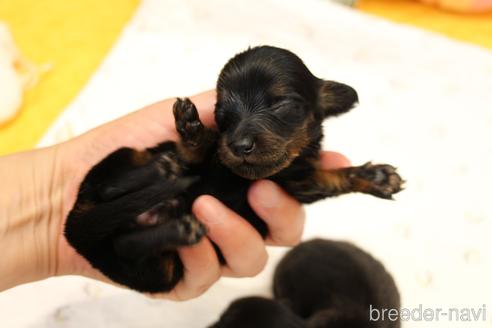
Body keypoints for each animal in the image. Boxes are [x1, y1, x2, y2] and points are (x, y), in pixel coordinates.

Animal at [64, 45, 404, 292]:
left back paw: (178, 221)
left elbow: (329, 178)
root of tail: (74, 230)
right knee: (111, 188)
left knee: (127, 244)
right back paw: (167, 169)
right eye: (221, 111)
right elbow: (203, 148)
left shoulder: (301, 184)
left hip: (158, 269)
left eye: (282, 104)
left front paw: (375, 177)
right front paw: (191, 127)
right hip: (124, 159)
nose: (239, 145)